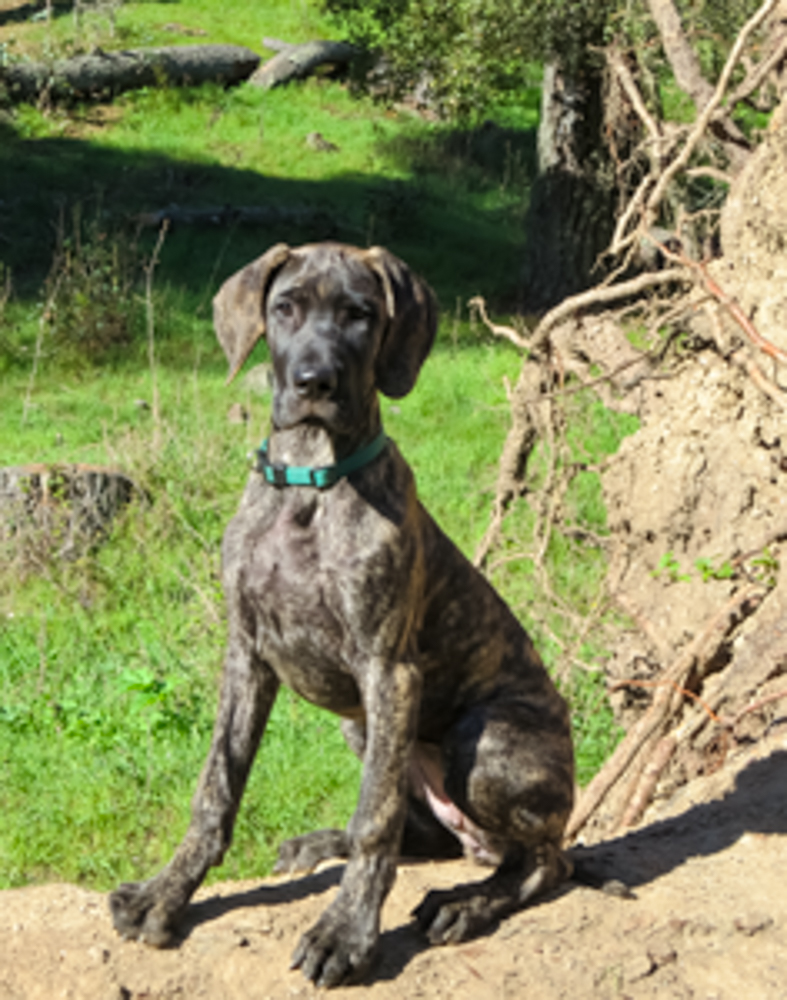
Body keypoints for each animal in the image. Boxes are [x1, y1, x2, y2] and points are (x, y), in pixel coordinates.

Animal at [109, 240, 572, 984]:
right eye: (284, 308)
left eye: (360, 315)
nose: (313, 381)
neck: (310, 480)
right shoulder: (246, 656)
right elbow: (215, 788)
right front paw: (165, 894)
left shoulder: (390, 670)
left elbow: (375, 818)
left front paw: (346, 934)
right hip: (364, 729)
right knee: (434, 834)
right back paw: (320, 844)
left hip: (485, 738)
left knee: (544, 861)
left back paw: (463, 905)